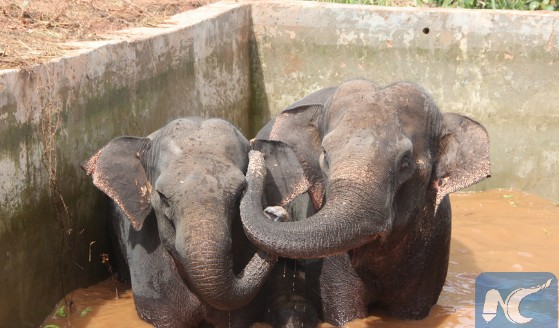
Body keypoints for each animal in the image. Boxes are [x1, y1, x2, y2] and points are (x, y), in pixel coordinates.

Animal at [241, 79, 490, 326]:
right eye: (325, 155)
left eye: (405, 163)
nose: (274, 212)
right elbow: (344, 309)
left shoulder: (434, 244)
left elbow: (413, 313)